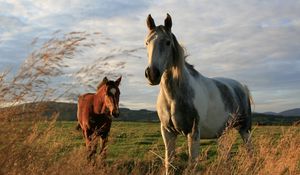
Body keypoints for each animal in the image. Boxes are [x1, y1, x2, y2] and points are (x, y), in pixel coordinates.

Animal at [144, 14, 252, 174]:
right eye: (146, 42)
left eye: (168, 42)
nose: (152, 74)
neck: (173, 97)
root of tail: (242, 87)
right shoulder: (167, 133)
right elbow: (169, 163)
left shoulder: (193, 133)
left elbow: (192, 164)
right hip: (223, 132)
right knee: (225, 155)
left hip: (245, 129)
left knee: (250, 151)